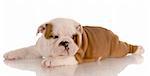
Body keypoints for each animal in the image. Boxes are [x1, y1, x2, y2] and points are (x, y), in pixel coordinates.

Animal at [3, 18, 144, 67]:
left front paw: (50, 61)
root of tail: (111, 33)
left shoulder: (76, 56)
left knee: (127, 47)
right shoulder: (37, 49)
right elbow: (25, 50)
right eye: (54, 36)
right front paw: (11, 54)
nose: (65, 42)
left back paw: (139, 49)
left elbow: (63, 58)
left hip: (117, 49)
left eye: (74, 36)